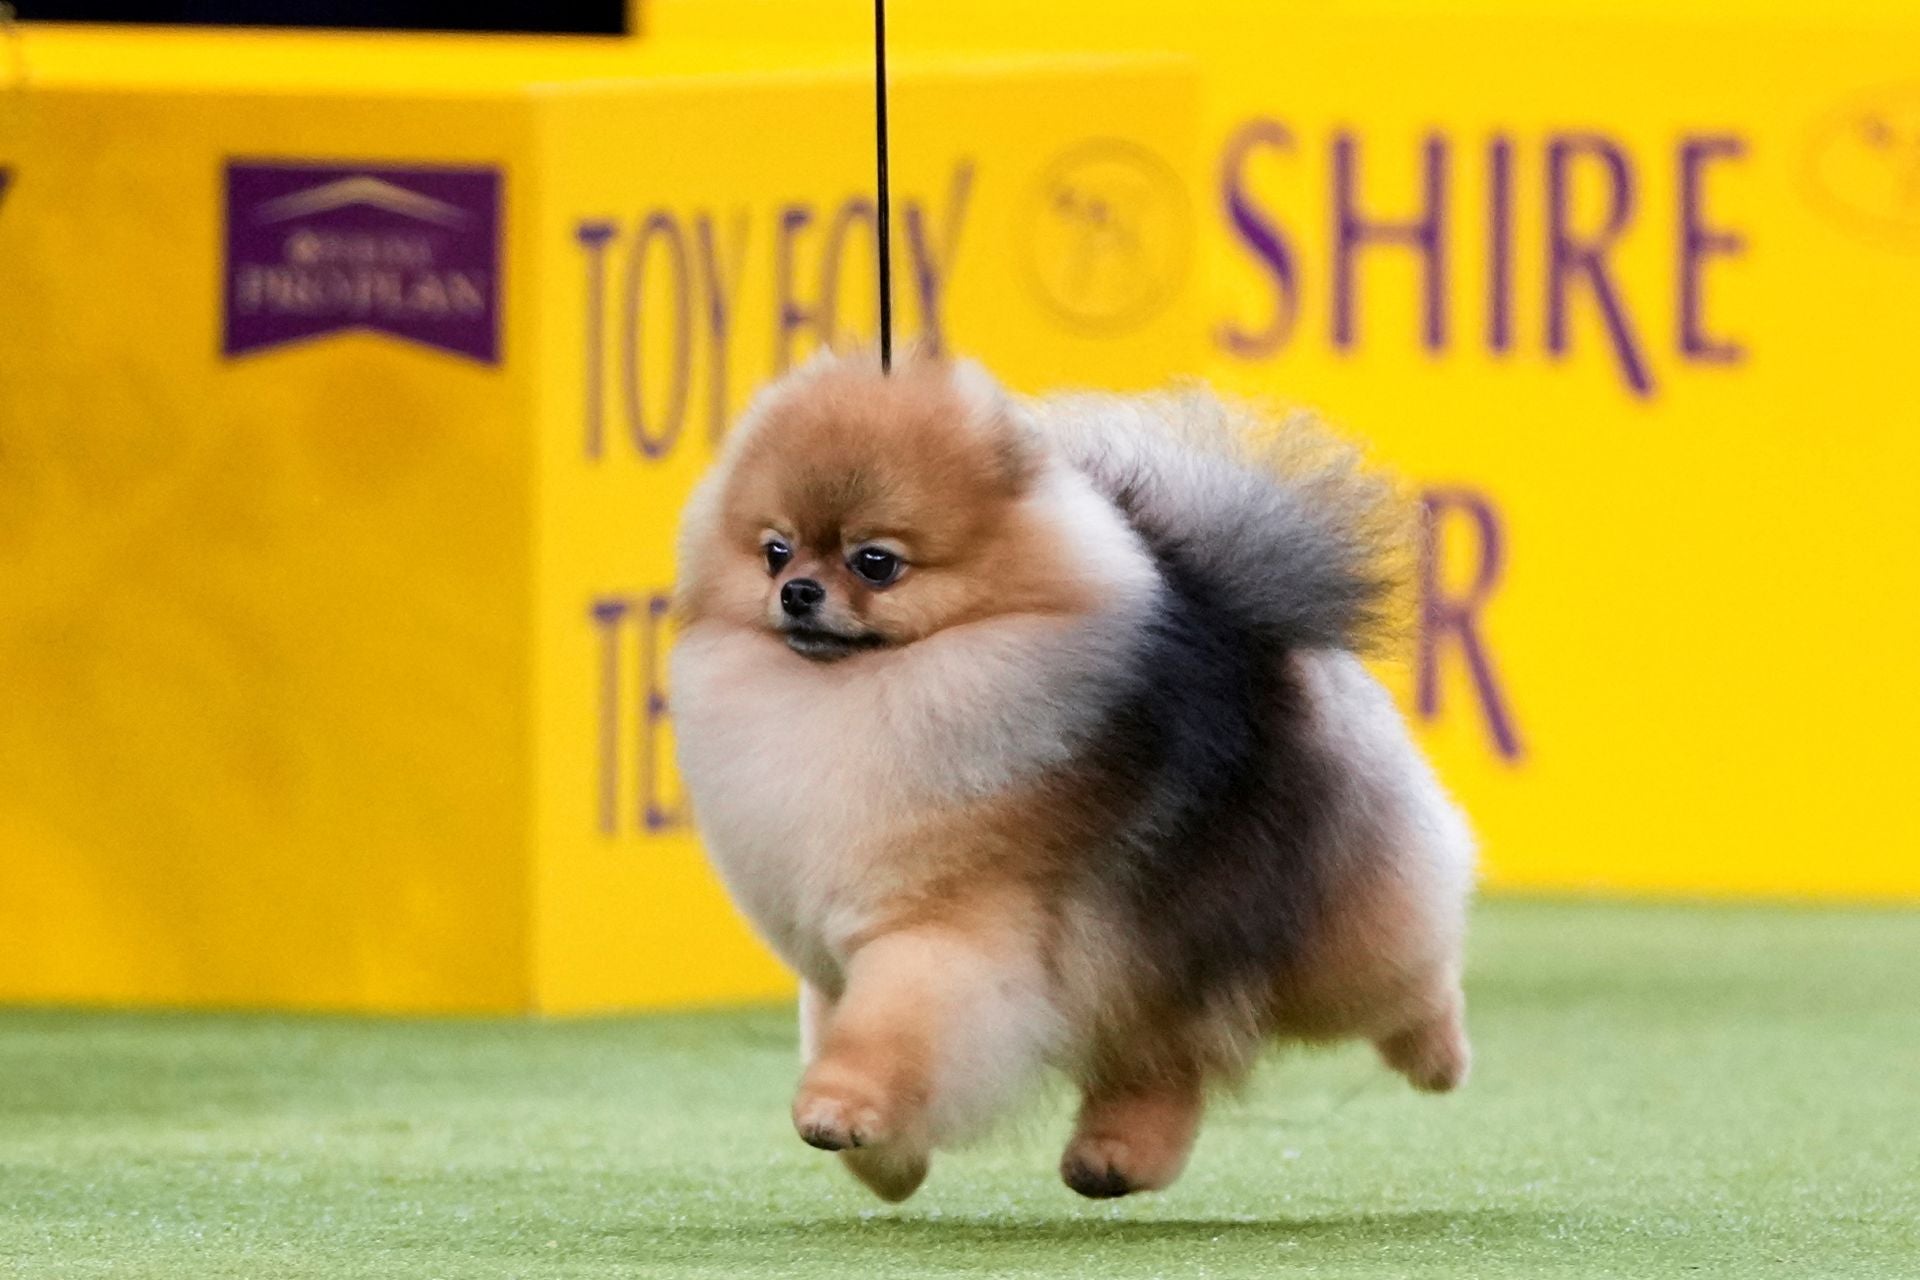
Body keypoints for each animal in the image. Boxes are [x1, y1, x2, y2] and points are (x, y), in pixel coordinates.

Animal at [672, 347, 1466, 1205]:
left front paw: (841, 1111)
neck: (865, 694)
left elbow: (888, 1033)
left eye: (875, 562)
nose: (797, 592)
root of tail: (1246, 616)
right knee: (1164, 1056)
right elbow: (836, 1029)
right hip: (1160, 941)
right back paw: (1115, 1158)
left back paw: (1441, 1057)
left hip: (1321, 918)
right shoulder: (831, 947)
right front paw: (887, 1164)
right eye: (775, 550)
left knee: (1402, 973)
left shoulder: (947, 931)